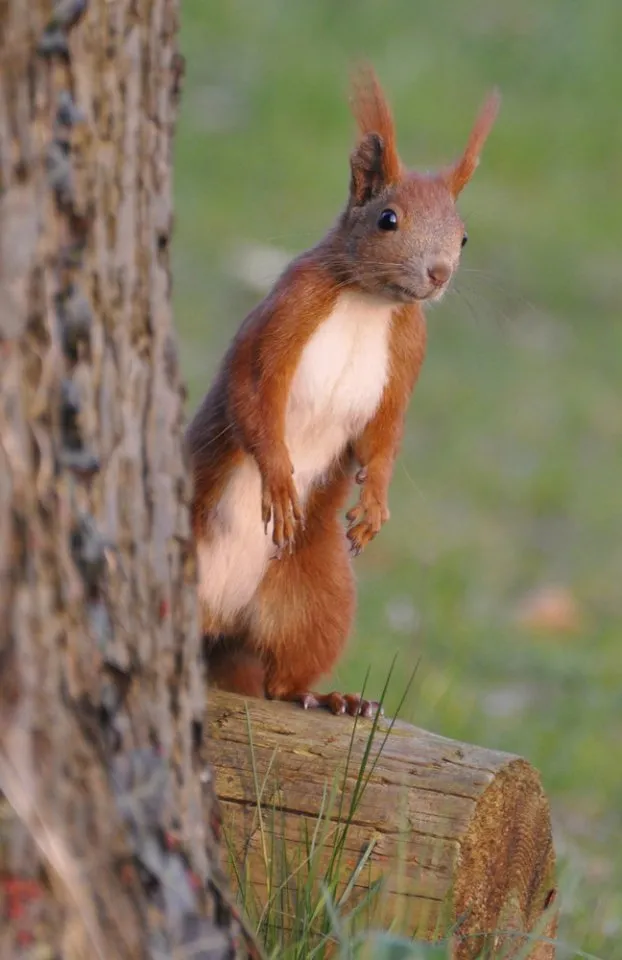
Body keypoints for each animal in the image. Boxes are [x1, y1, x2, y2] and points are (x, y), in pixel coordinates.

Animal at [185, 66, 499, 718]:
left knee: (282, 679)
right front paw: (280, 482)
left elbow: (385, 434)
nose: (439, 275)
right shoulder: (284, 317)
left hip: (317, 595)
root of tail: (217, 619)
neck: (368, 303)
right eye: (387, 219)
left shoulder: (407, 356)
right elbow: (255, 399)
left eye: (463, 238)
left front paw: (373, 504)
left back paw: (330, 697)